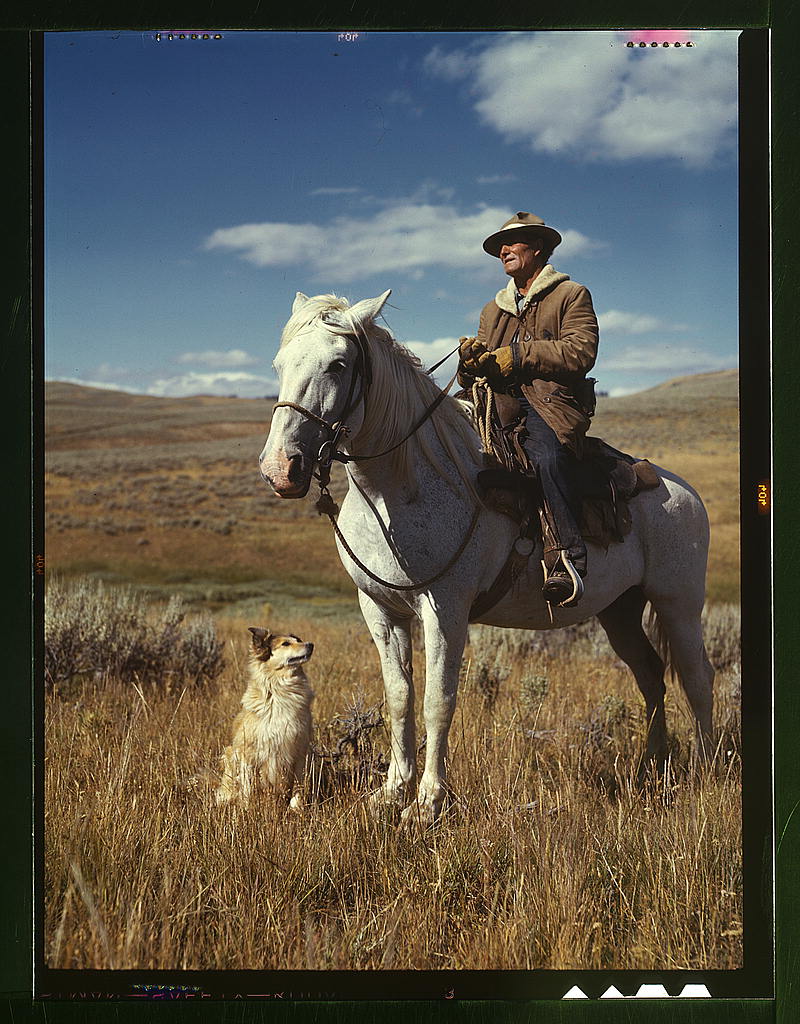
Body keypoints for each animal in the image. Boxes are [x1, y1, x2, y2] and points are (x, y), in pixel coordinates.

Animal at [215, 622, 315, 806]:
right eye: (285, 644)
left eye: (299, 640)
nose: (311, 644)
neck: (280, 690)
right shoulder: (248, 752)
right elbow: (247, 788)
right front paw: (247, 809)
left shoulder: (299, 749)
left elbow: (298, 785)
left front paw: (296, 808)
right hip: (230, 754)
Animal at [259, 288, 712, 823]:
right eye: (278, 364)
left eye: (338, 364)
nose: (280, 469)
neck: (404, 484)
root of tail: (681, 490)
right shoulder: (380, 609)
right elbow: (399, 697)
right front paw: (392, 791)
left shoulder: (446, 608)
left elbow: (438, 700)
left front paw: (428, 801)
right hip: (619, 610)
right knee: (651, 676)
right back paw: (652, 768)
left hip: (678, 602)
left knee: (698, 678)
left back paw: (705, 771)